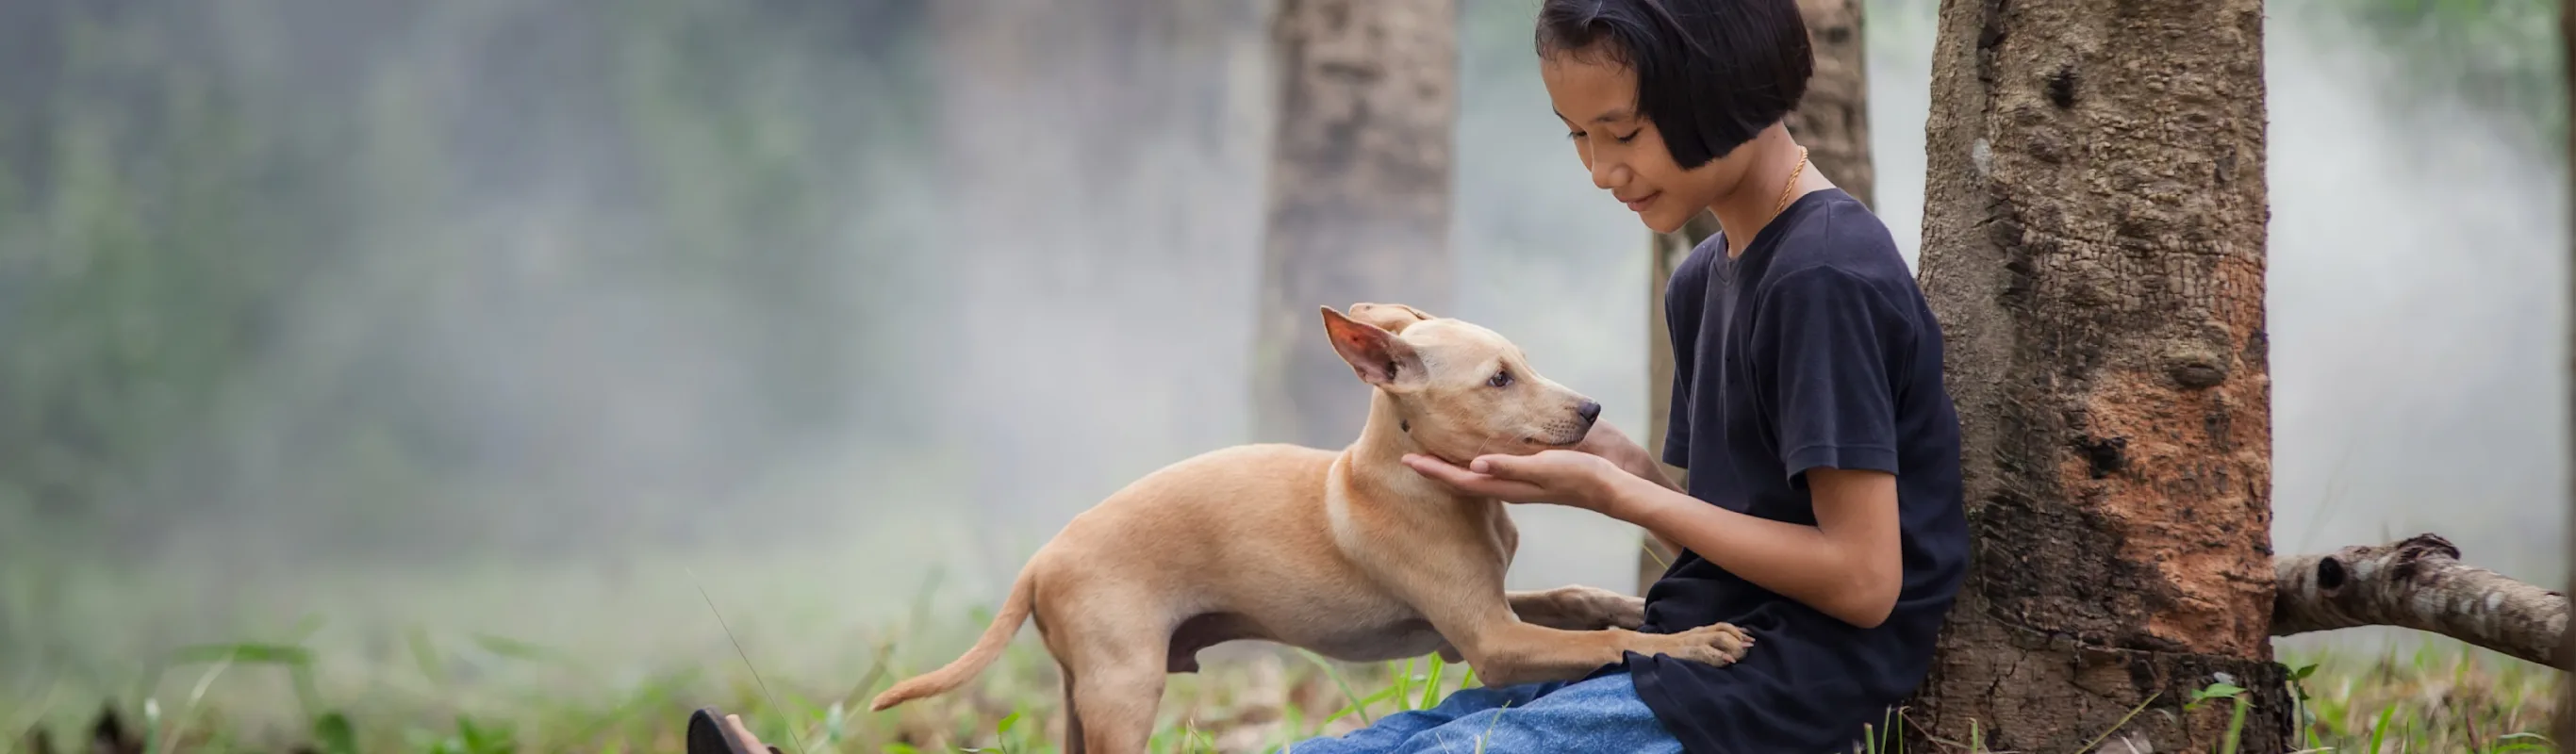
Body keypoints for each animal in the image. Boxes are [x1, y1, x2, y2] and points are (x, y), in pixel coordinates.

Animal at [865, 302, 1751, 746]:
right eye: (1499, 379)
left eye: (1526, 364)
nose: (1593, 411)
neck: (1410, 479)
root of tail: (1043, 558)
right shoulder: (1490, 643)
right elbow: (1608, 643)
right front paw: (1694, 641)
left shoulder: (1473, 620)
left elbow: (1578, 601)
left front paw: (1640, 605)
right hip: (1125, 688)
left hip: (1082, 694)